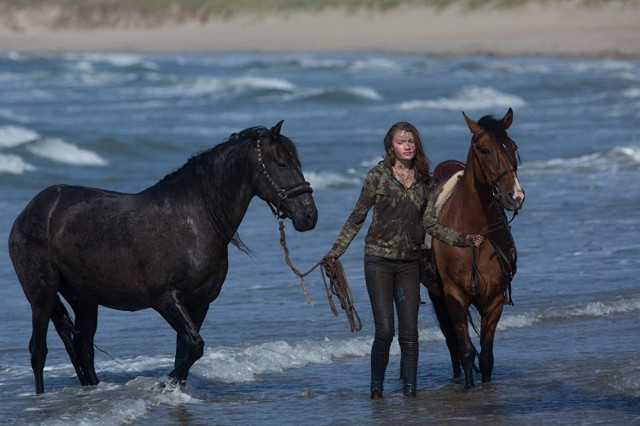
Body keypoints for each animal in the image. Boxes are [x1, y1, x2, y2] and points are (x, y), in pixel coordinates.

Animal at [8, 119, 318, 392]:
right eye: (282, 164)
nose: (309, 216)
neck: (194, 220)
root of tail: (29, 210)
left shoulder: (199, 304)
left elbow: (186, 351)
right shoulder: (166, 299)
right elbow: (195, 347)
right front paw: (160, 385)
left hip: (84, 300)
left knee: (81, 347)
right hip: (42, 296)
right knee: (39, 350)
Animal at [424, 108, 524, 388]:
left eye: (513, 146)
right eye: (485, 150)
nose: (516, 196)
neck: (474, 233)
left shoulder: (494, 300)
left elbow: (487, 356)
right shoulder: (454, 296)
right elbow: (467, 351)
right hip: (437, 295)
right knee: (452, 342)